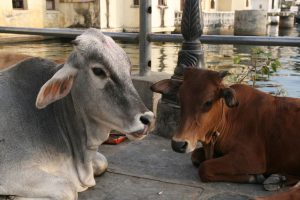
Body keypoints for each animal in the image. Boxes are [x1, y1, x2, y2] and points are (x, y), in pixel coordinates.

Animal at [151, 68, 300, 198]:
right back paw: (278, 178)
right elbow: (195, 156)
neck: (230, 118)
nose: (178, 144)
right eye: (180, 99)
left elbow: (204, 167)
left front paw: (255, 176)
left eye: (208, 102)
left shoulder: (252, 159)